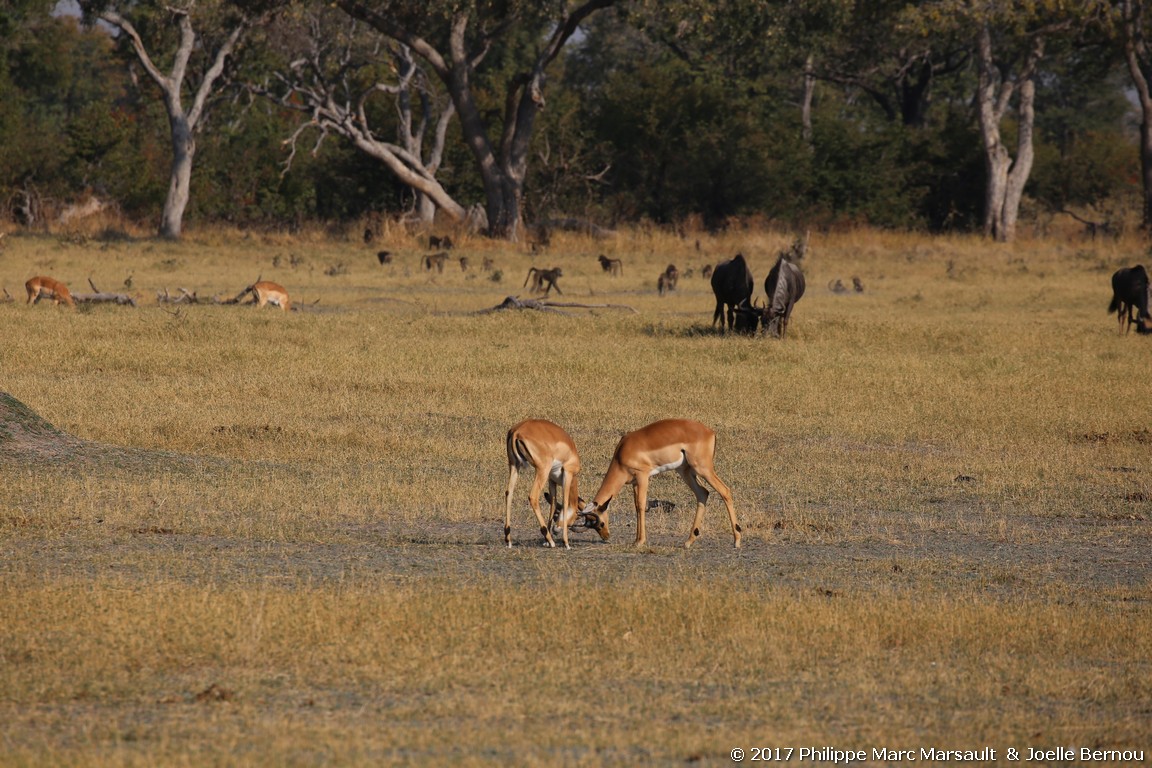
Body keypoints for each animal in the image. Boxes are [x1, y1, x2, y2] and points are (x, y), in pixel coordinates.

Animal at [580, 421, 741, 552]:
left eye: (600, 523)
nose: (606, 537)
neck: (622, 454)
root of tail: (710, 432)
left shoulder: (643, 477)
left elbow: (641, 505)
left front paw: (640, 541)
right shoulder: (635, 483)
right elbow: (637, 507)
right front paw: (636, 540)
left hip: (703, 468)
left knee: (725, 491)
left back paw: (737, 540)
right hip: (685, 471)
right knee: (703, 493)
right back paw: (688, 541)